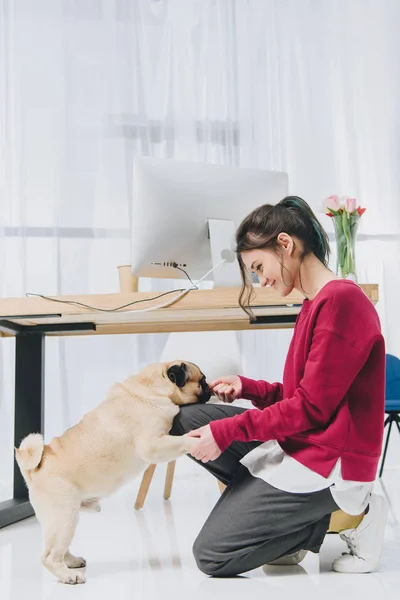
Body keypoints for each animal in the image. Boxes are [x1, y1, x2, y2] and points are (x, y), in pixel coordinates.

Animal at [15, 360, 211, 584]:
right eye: (202, 381)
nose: (210, 387)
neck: (149, 387)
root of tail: (34, 470)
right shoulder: (152, 445)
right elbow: (182, 441)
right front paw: (199, 440)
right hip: (64, 517)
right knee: (49, 556)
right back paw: (68, 576)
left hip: (66, 518)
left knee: (59, 549)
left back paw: (72, 562)